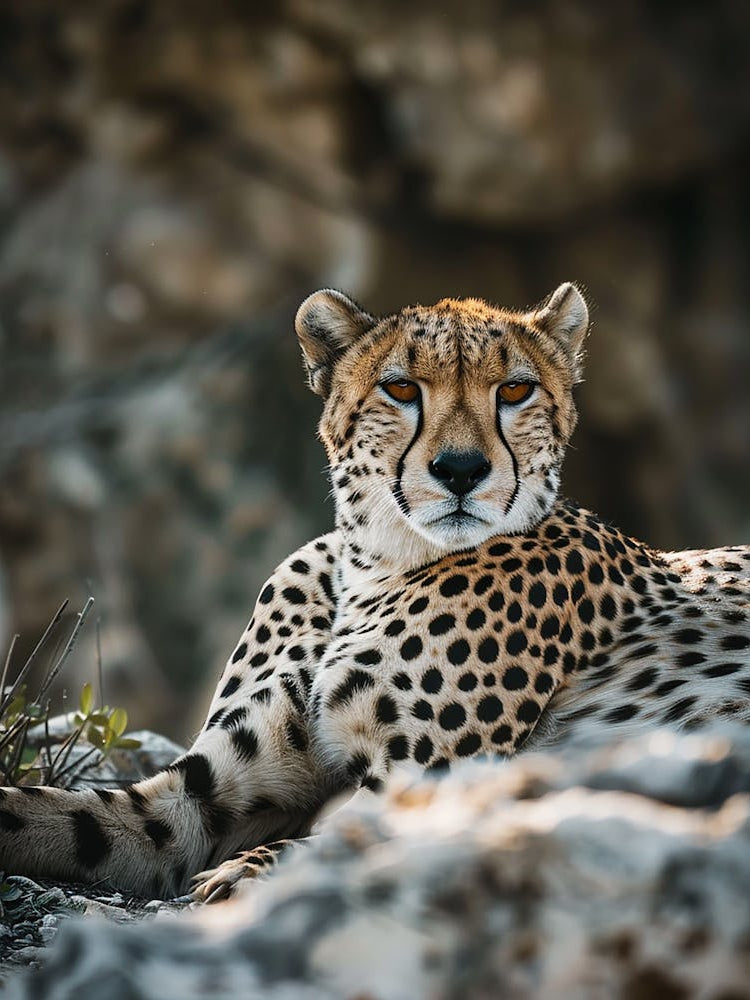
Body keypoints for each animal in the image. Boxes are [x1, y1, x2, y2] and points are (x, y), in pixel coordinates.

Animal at [0, 282, 748, 903]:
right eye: (401, 389)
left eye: (514, 392)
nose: (460, 470)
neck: (374, 566)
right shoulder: (194, 797)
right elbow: (51, 812)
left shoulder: (424, 782)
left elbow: (316, 844)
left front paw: (243, 876)